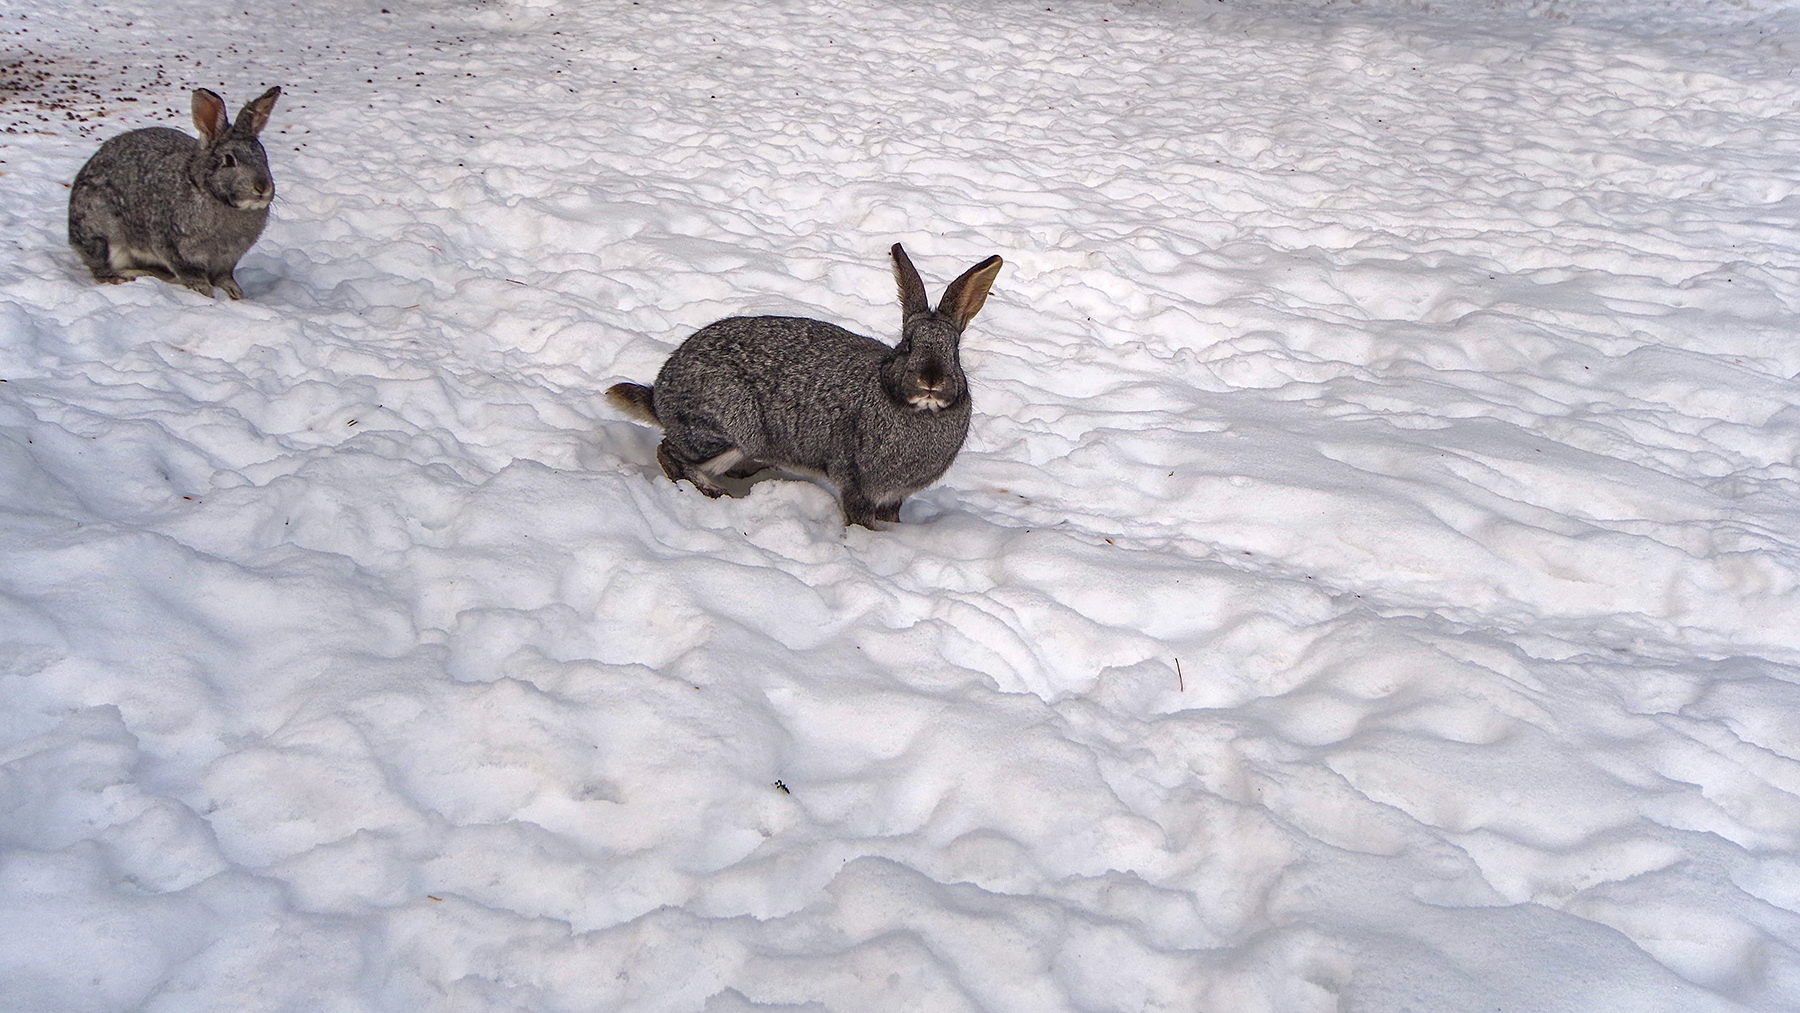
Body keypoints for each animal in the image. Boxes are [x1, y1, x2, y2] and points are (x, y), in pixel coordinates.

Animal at [67, 86, 279, 300]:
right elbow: (192, 275)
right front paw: (205, 292)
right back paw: (126, 275)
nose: (262, 187)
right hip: (103, 232)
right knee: (100, 267)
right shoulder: (178, 250)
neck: (207, 191)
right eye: (228, 160)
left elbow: (224, 277)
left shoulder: (227, 261)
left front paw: (233, 292)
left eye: (263, 155)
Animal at [612, 246, 1008, 532]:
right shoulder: (856, 482)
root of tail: (660, 395)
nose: (931, 380)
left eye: (954, 350)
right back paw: (712, 490)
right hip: (730, 428)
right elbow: (859, 517)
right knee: (669, 452)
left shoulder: (896, 495)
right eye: (907, 345)